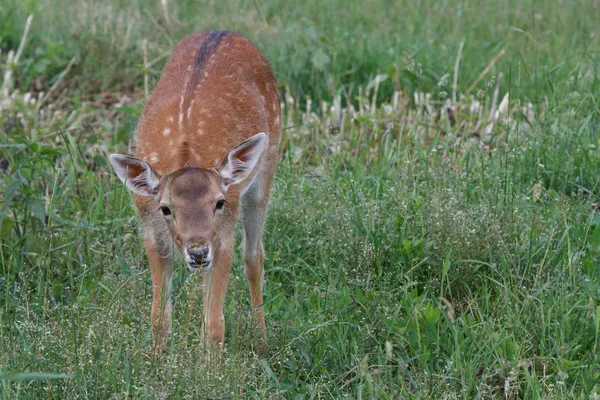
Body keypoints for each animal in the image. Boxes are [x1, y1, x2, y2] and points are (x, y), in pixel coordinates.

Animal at [108, 30, 282, 350]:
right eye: (165, 208)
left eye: (219, 202)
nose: (198, 252)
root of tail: (224, 31)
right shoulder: (152, 231)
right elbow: (158, 320)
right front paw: (156, 358)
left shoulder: (223, 234)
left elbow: (214, 327)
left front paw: (210, 364)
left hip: (267, 168)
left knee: (254, 255)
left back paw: (262, 342)